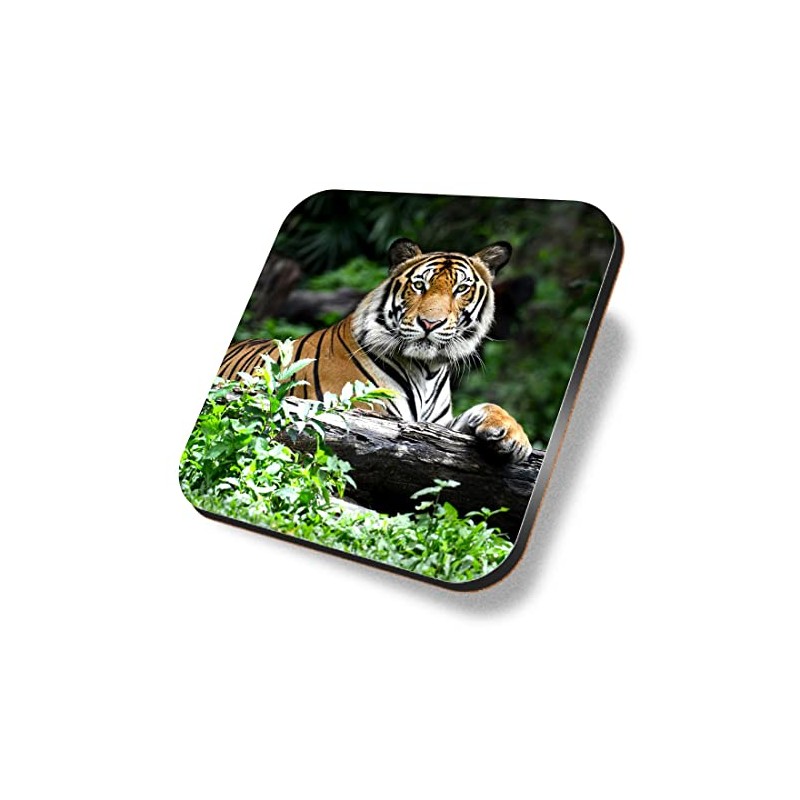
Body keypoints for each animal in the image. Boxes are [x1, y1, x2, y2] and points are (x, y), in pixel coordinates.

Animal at [220, 238, 533, 463]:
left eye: (461, 289)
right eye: (419, 286)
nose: (430, 323)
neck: (427, 369)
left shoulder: (439, 427)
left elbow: (488, 407)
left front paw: (514, 437)